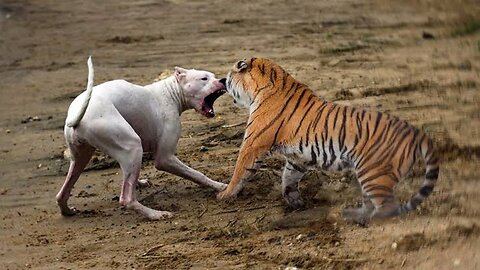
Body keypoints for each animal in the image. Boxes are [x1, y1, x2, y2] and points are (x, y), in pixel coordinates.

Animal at [56, 57, 227, 219]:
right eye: (204, 78)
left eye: (214, 76)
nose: (223, 80)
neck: (172, 92)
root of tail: (74, 115)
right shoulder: (165, 158)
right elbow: (198, 174)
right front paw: (219, 186)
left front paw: (139, 182)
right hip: (133, 147)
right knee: (127, 199)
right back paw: (156, 214)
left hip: (82, 158)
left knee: (61, 194)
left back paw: (67, 211)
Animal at [217, 57, 438, 226]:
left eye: (229, 75)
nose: (222, 79)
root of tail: (415, 132)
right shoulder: (298, 158)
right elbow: (289, 178)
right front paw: (294, 201)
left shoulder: (252, 144)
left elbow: (239, 171)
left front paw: (225, 195)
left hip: (373, 173)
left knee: (387, 207)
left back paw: (366, 220)